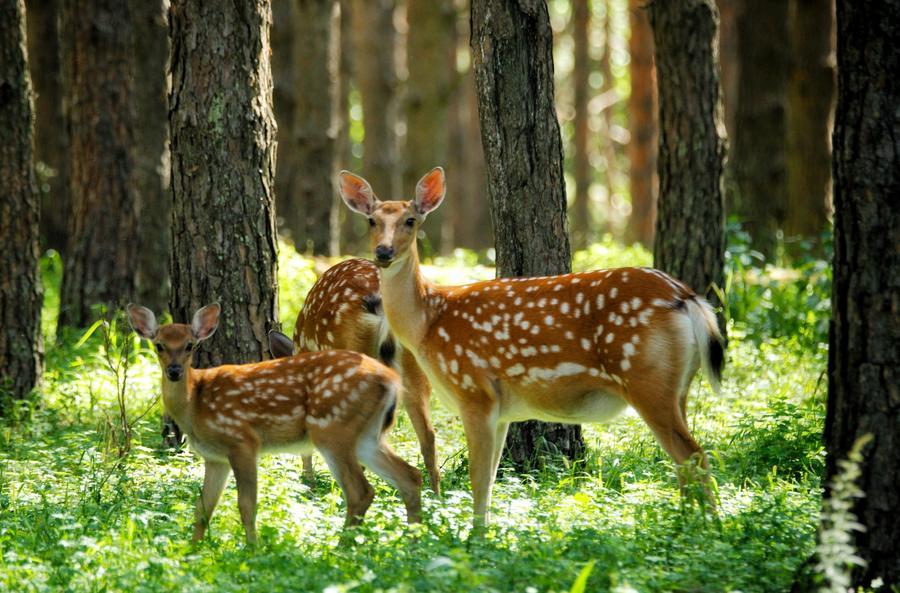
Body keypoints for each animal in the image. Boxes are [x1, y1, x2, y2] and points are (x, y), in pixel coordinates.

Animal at [127, 303, 422, 544]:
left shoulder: (242, 441)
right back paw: (414, 542)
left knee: (360, 491)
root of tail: (391, 380)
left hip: (333, 430)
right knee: (409, 476)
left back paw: (341, 548)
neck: (195, 403)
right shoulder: (215, 458)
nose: (174, 371)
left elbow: (246, 505)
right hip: (367, 436)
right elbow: (203, 508)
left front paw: (253, 549)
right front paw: (192, 551)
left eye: (190, 345)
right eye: (159, 345)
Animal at [338, 166, 726, 526]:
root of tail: (688, 299)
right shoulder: (501, 409)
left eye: (410, 220)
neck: (428, 322)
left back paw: (708, 527)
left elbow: (478, 480)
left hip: (646, 378)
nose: (383, 252)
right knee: (686, 461)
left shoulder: (473, 391)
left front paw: (475, 538)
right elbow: (490, 481)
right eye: (372, 220)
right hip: (677, 385)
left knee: (694, 456)